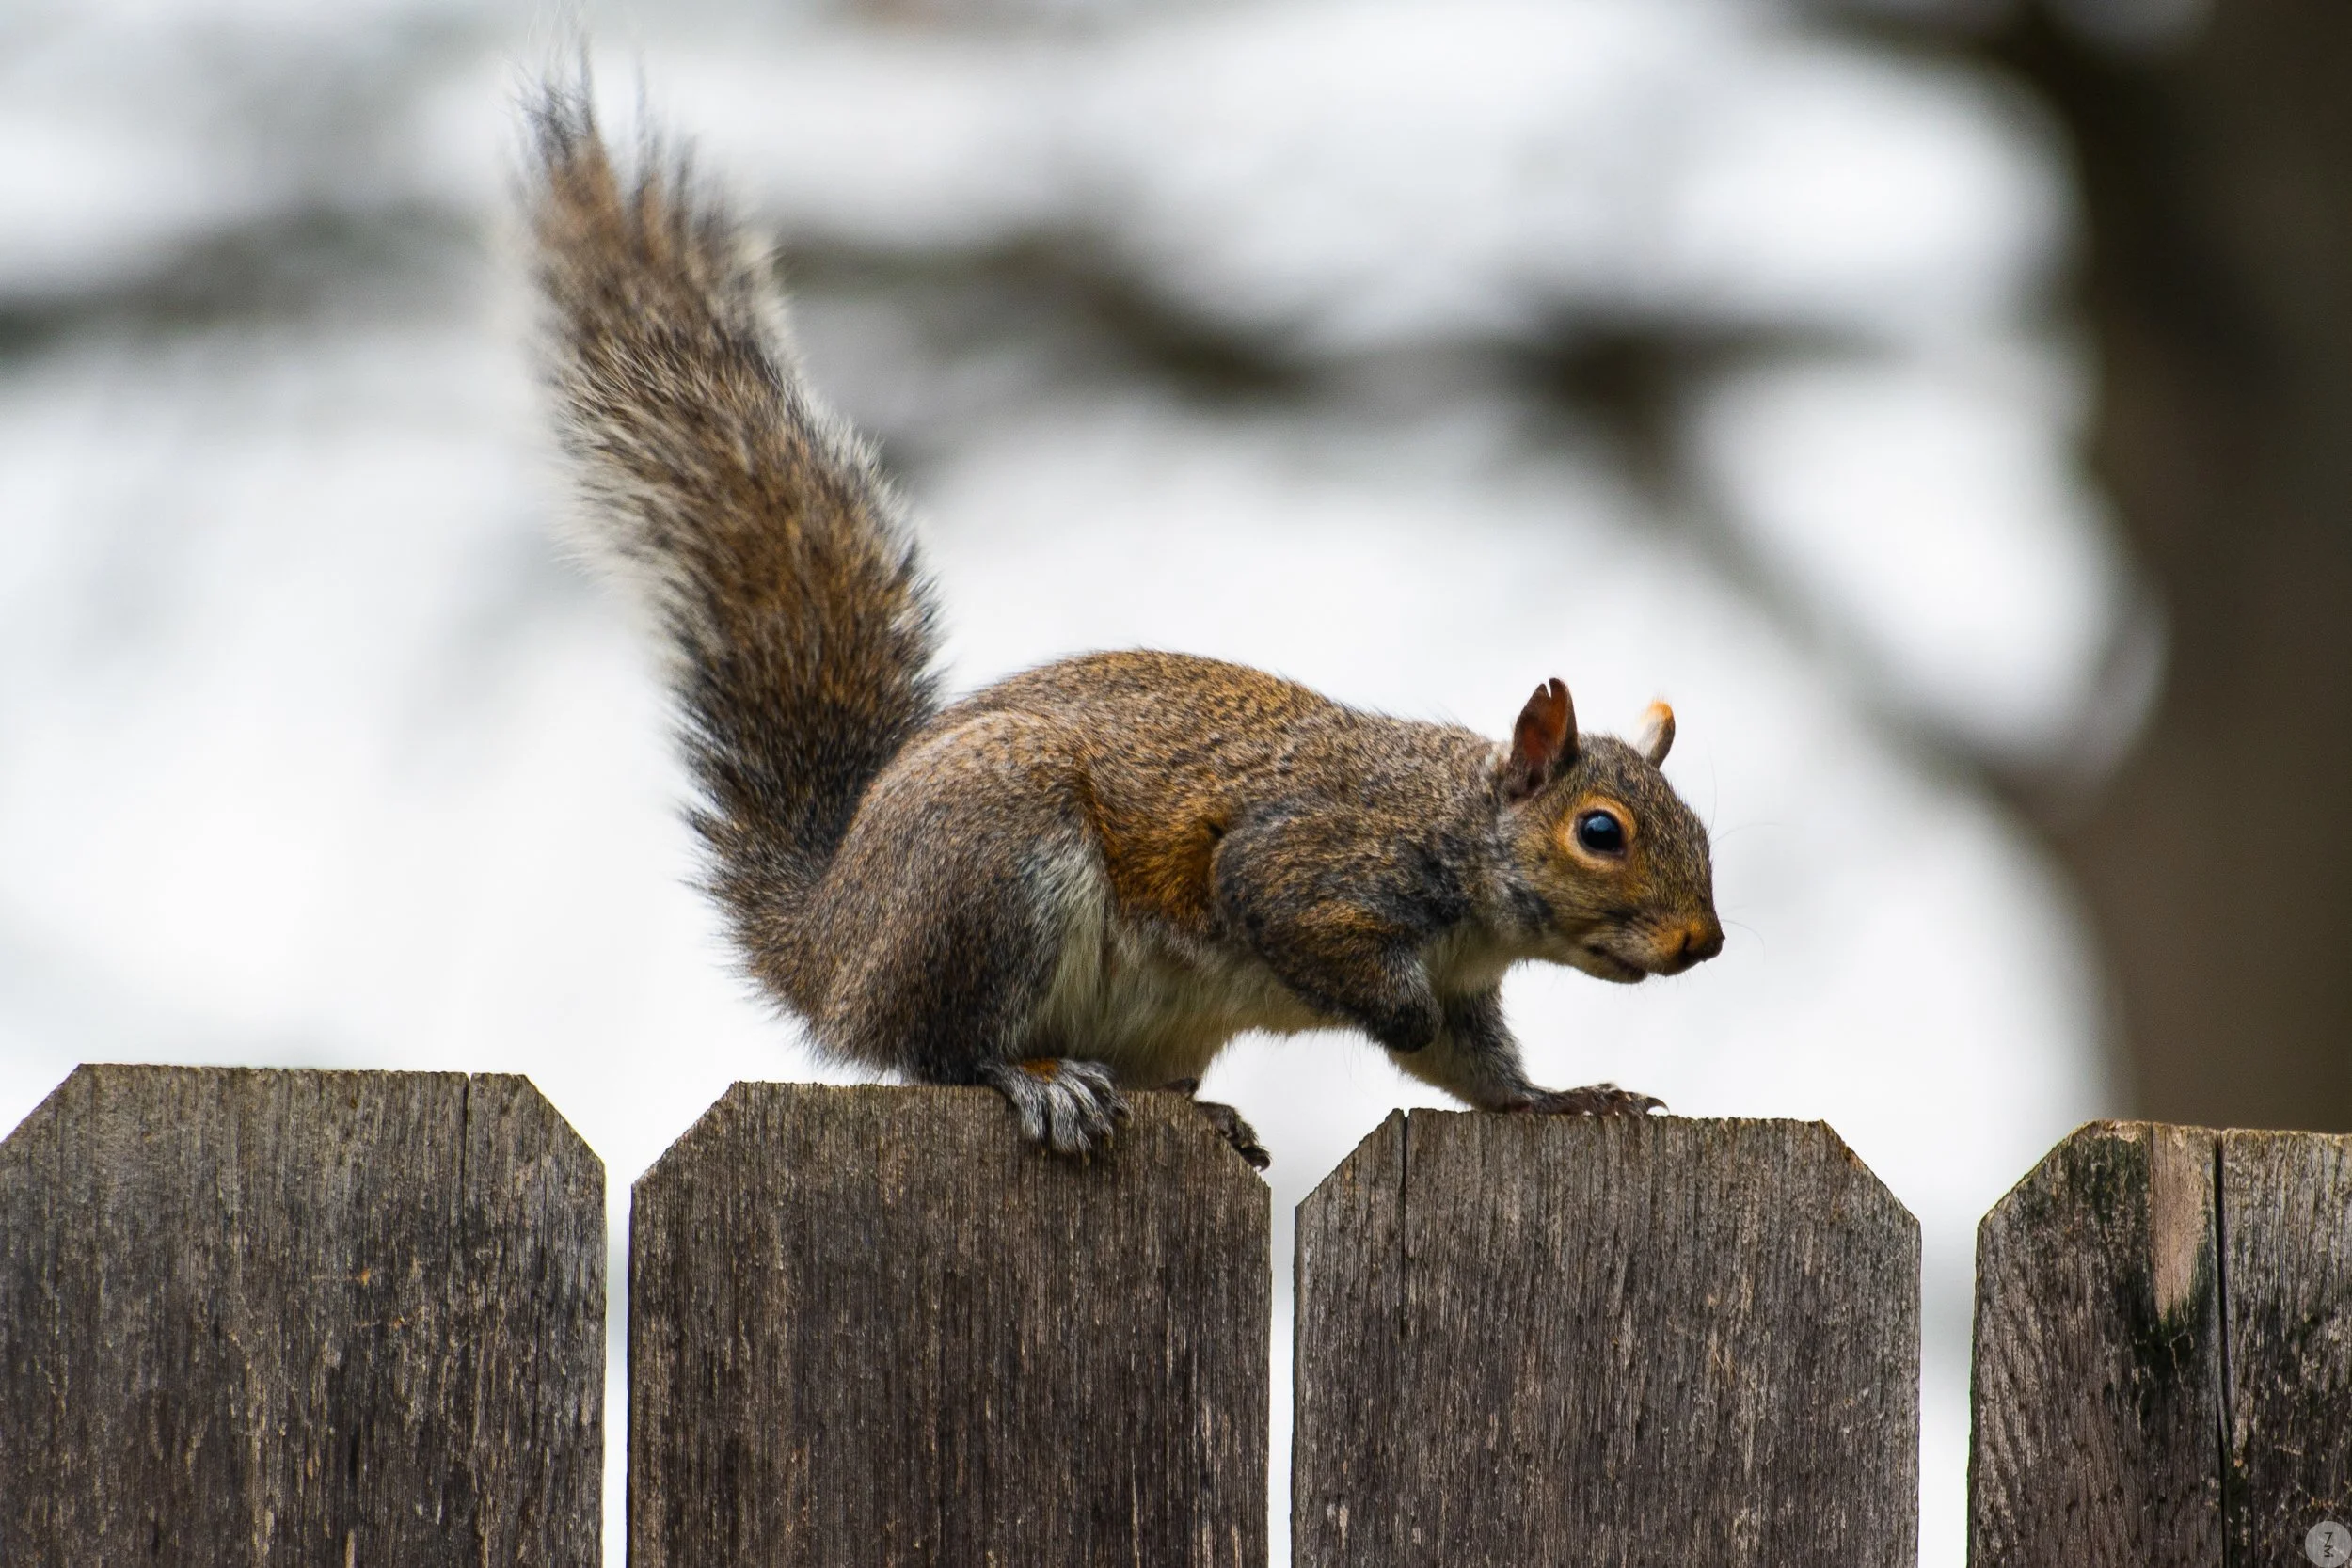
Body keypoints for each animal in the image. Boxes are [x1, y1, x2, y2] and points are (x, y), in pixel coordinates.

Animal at [523, 85, 1724, 1169]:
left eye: (1699, 831)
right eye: (1601, 830)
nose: (1701, 942)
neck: (1461, 844)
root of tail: (830, 948)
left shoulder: (1471, 985)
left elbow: (1477, 1068)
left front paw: (1561, 1098)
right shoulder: (1313, 864)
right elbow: (1319, 940)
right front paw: (1403, 1015)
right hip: (990, 870)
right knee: (937, 1048)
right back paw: (1036, 1077)